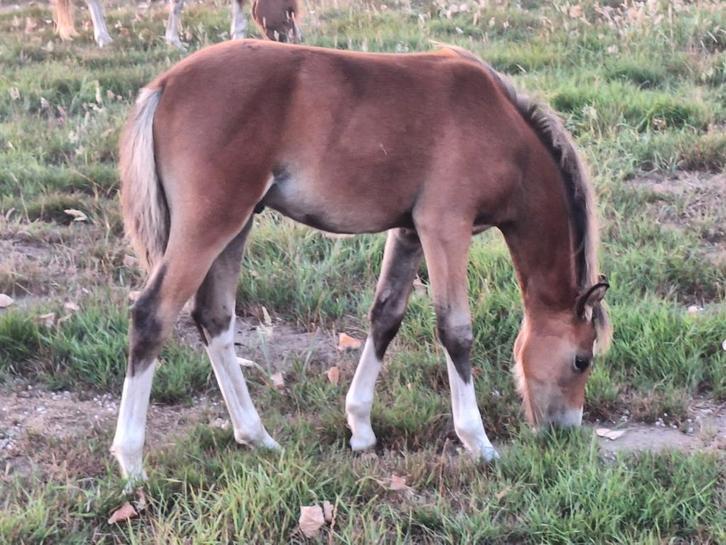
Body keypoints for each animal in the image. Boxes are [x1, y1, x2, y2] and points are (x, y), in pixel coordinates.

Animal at [112, 39, 612, 484]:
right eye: (581, 360)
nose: (565, 429)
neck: (503, 133)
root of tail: (165, 85)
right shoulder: (445, 227)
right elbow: (455, 330)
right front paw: (478, 441)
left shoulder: (409, 231)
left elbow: (385, 316)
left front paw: (361, 428)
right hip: (210, 222)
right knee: (153, 314)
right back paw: (131, 462)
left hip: (237, 223)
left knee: (214, 317)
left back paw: (257, 437)